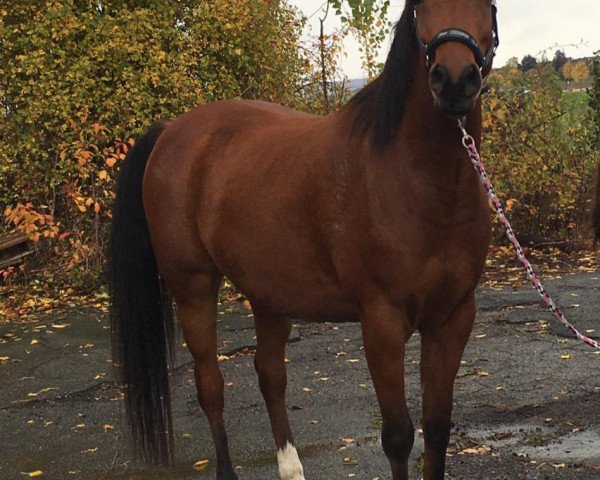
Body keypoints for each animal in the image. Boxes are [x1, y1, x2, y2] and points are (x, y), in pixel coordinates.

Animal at [110, 1, 500, 478]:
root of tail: (170, 131)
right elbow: (398, 436)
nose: (455, 80)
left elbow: (438, 428)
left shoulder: (453, 318)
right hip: (192, 287)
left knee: (270, 375)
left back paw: (291, 467)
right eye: (419, 8)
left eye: (491, 6)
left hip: (269, 294)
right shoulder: (381, 323)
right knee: (211, 386)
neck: (418, 181)